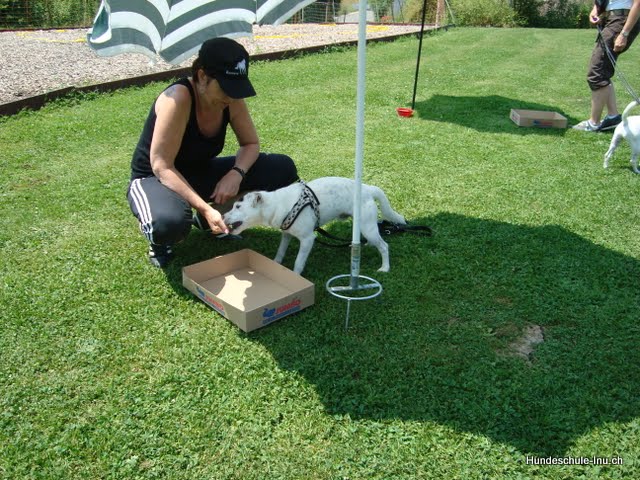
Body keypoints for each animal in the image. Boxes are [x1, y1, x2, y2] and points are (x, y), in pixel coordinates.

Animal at [223, 177, 406, 275]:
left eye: (237, 206)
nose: (223, 216)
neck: (278, 204)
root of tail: (368, 189)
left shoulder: (307, 239)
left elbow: (298, 262)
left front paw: (295, 277)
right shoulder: (286, 234)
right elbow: (280, 252)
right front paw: (275, 264)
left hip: (367, 228)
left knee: (384, 246)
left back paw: (385, 267)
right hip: (364, 226)